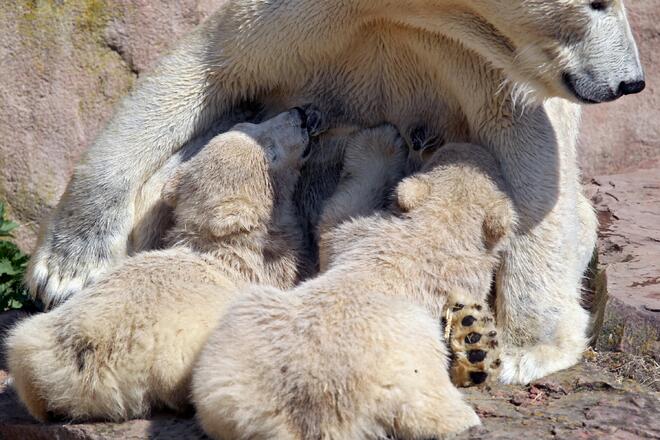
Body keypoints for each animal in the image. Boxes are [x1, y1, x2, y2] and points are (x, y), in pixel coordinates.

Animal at [5, 108, 320, 422]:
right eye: (271, 151)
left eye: (249, 124)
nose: (299, 114)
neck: (218, 245)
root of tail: (81, 364)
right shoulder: (273, 265)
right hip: (173, 355)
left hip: (34, 338)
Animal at [25, 0, 644, 384]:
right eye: (598, 2)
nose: (631, 81)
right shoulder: (308, 18)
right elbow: (199, 73)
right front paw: (66, 271)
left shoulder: (487, 63)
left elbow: (535, 169)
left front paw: (526, 349)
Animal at [191, 137, 510, 436]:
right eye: (446, 155)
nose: (470, 146)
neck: (432, 235)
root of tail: (318, 412)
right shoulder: (365, 235)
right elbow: (343, 211)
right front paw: (382, 138)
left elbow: (337, 216)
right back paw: (463, 414)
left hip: (234, 371)